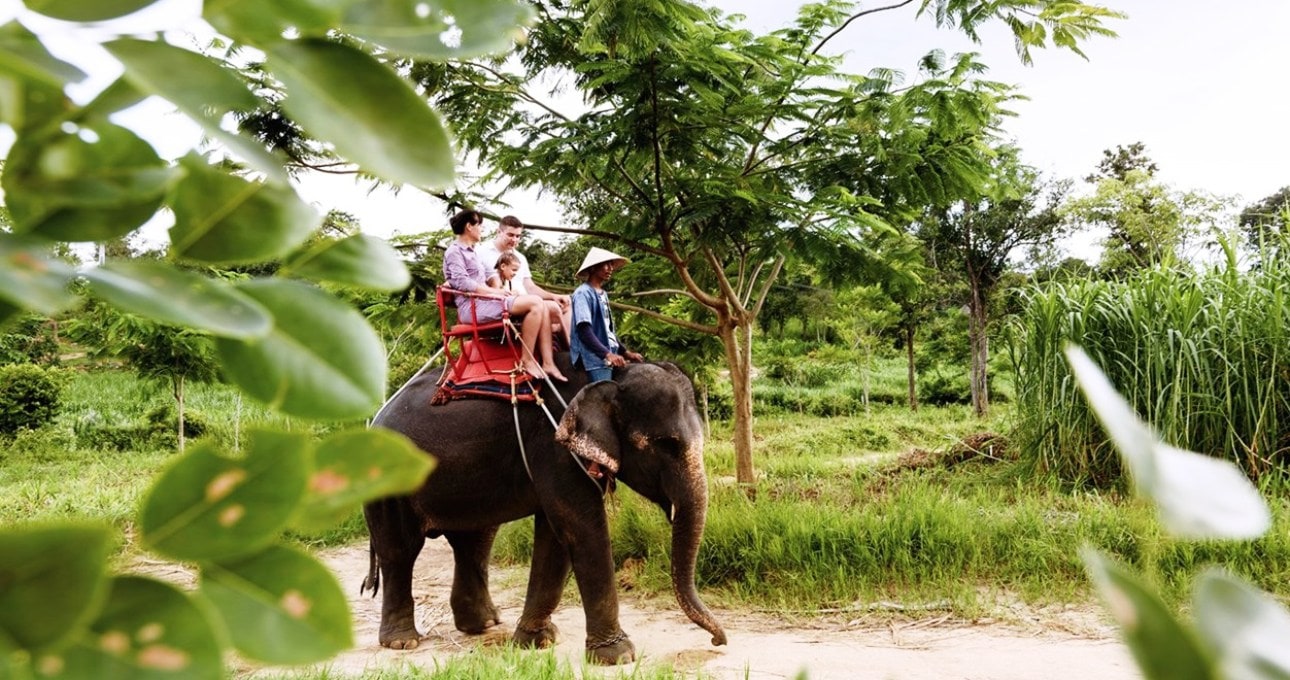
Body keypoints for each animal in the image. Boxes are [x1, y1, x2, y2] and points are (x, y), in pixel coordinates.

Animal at [361, 356, 727, 665]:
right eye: (666, 444)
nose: (718, 642)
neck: (610, 376)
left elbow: (555, 535)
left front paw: (536, 641)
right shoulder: (554, 446)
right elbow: (580, 527)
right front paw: (618, 656)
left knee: (475, 542)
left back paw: (484, 625)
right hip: (386, 485)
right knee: (400, 551)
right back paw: (402, 642)